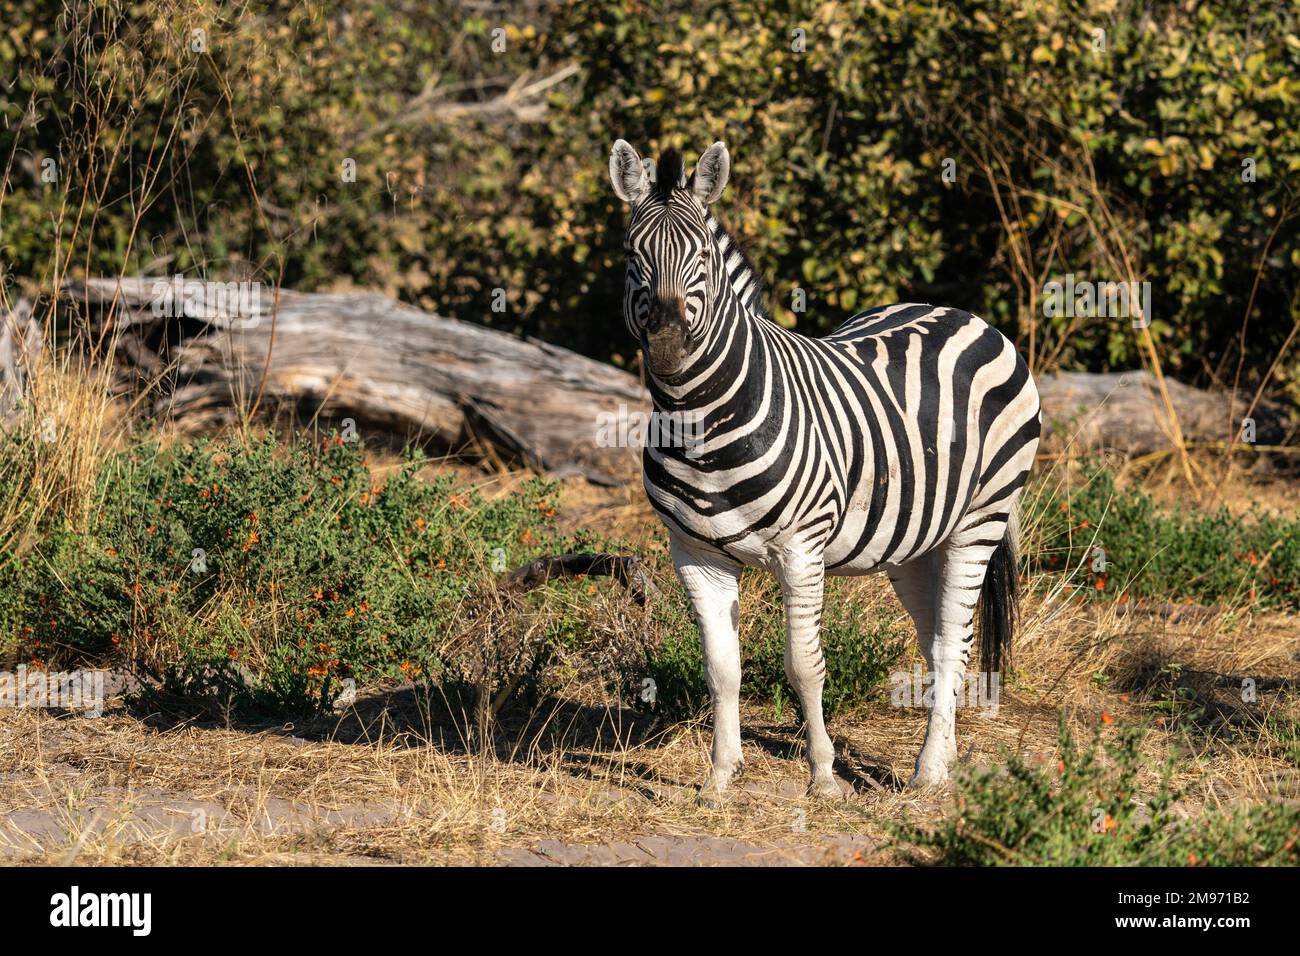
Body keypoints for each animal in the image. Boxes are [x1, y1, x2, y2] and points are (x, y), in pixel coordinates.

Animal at [608, 140, 1045, 801]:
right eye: (634, 257)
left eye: (702, 255)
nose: (665, 345)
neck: (698, 421)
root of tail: (959, 312)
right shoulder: (695, 552)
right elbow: (721, 668)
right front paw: (719, 778)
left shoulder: (801, 548)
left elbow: (804, 666)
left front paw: (822, 777)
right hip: (913, 539)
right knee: (943, 639)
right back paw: (943, 760)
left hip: (982, 516)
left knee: (954, 642)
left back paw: (925, 774)